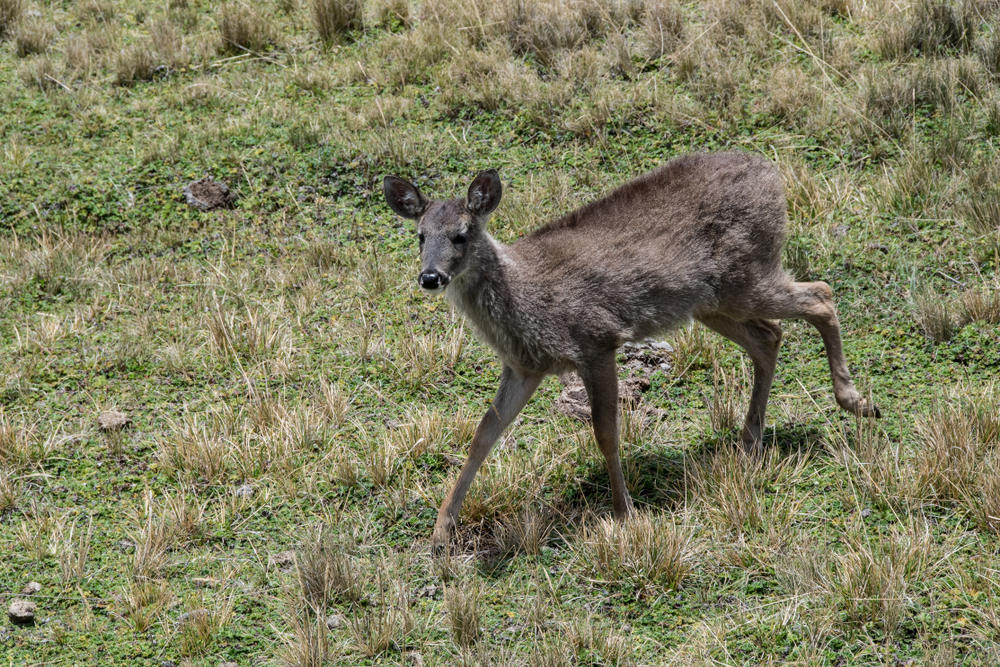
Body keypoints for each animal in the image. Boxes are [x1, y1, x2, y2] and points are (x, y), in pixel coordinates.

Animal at [384, 151, 884, 552]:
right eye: (420, 235)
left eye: (462, 234)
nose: (430, 277)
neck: (524, 297)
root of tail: (772, 175)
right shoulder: (524, 366)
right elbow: (482, 436)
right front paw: (441, 531)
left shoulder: (596, 340)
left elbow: (606, 433)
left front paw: (624, 512)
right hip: (713, 302)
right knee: (772, 335)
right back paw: (749, 444)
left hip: (746, 277)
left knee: (821, 295)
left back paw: (856, 401)